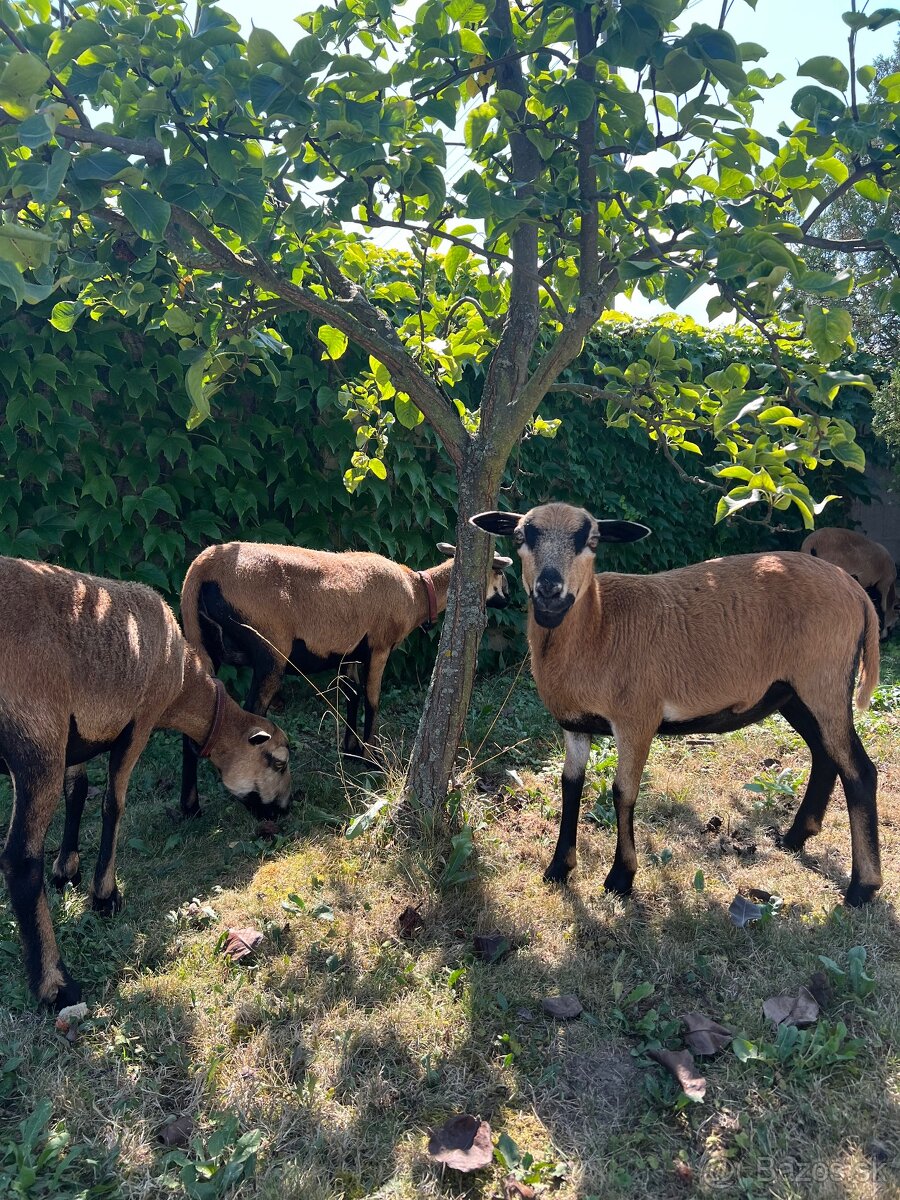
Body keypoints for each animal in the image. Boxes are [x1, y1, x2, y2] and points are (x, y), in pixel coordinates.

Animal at [0, 556, 290, 1008]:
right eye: (278, 762)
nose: (287, 808)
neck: (183, 680)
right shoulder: (138, 721)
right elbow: (113, 805)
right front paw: (105, 897)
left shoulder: (77, 738)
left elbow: (77, 793)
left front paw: (67, 871)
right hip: (36, 740)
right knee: (20, 860)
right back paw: (56, 985)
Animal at [177, 542, 513, 806]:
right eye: (500, 573)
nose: (510, 598)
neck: (417, 593)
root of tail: (202, 568)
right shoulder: (379, 646)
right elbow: (372, 699)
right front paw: (371, 759)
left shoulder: (350, 653)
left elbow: (351, 695)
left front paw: (351, 751)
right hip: (269, 652)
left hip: (207, 648)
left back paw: (190, 808)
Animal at [475, 501, 883, 902]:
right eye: (520, 537)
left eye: (591, 541)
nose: (549, 590)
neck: (599, 626)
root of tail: (857, 593)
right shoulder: (575, 724)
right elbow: (570, 784)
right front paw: (558, 869)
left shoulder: (637, 719)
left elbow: (623, 792)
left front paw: (621, 878)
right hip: (792, 691)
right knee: (825, 756)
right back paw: (795, 838)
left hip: (824, 680)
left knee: (859, 770)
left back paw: (863, 886)